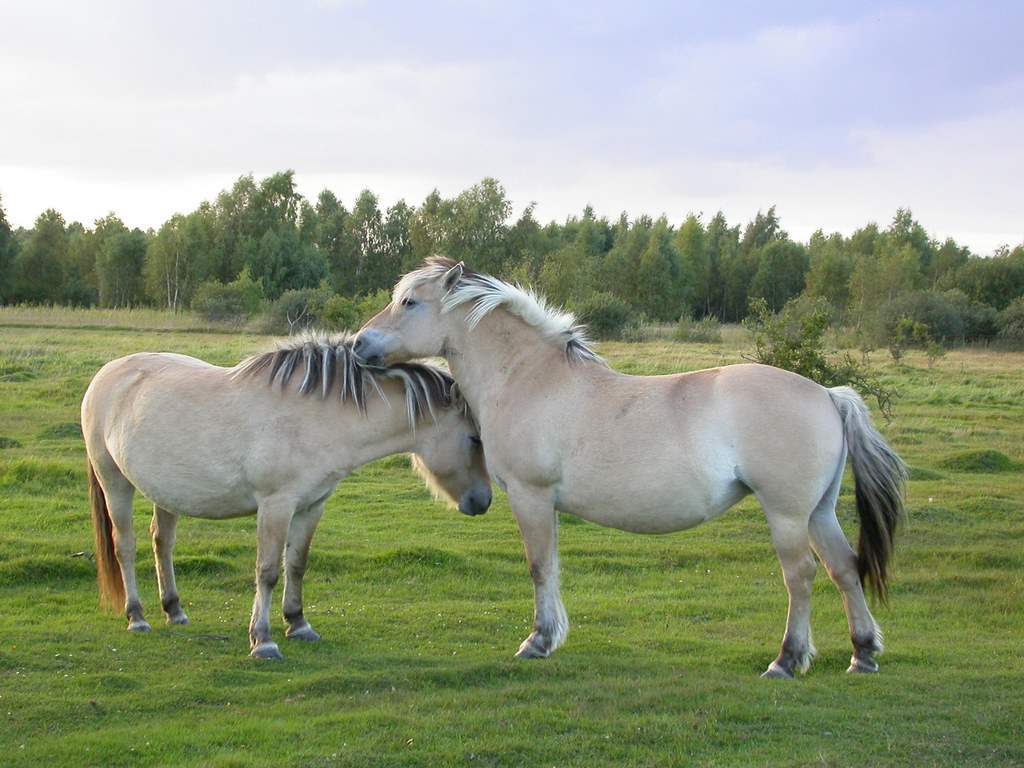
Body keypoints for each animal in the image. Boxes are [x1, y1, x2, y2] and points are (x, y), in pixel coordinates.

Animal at [82, 332, 491, 660]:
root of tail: (107, 374)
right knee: (125, 546)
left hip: (167, 493)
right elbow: (267, 571)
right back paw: (137, 617)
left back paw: (174, 611)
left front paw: (298, 623)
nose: (483, 501)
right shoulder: (276, 506)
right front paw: (262, 640)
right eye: (475, 439)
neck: (316, 419)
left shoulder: (312, 506)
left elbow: (296, 564)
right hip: (114, 481)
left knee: (162, 543)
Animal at [354, 258, 907, 678]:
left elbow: (539, 567)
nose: (360, 344)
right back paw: (863, 654)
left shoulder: (531, 497)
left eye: (409, 302)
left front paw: (537, 641)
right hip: (819, 512)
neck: (530, 379)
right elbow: (552, 567)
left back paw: (787, 661)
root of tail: (828, 394)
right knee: (844, 569)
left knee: (802, 576)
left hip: (788, 515)